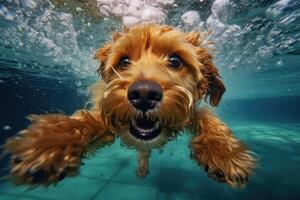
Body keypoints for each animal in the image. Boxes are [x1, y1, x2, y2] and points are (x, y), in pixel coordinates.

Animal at [3, 23, 254, 188]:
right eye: (124, 61)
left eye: (175, 61)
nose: (143, 94)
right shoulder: (107, 114)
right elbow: (87, 119)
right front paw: (49, 143)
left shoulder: (190, 111)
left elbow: (208, 119)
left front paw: (225, 153)